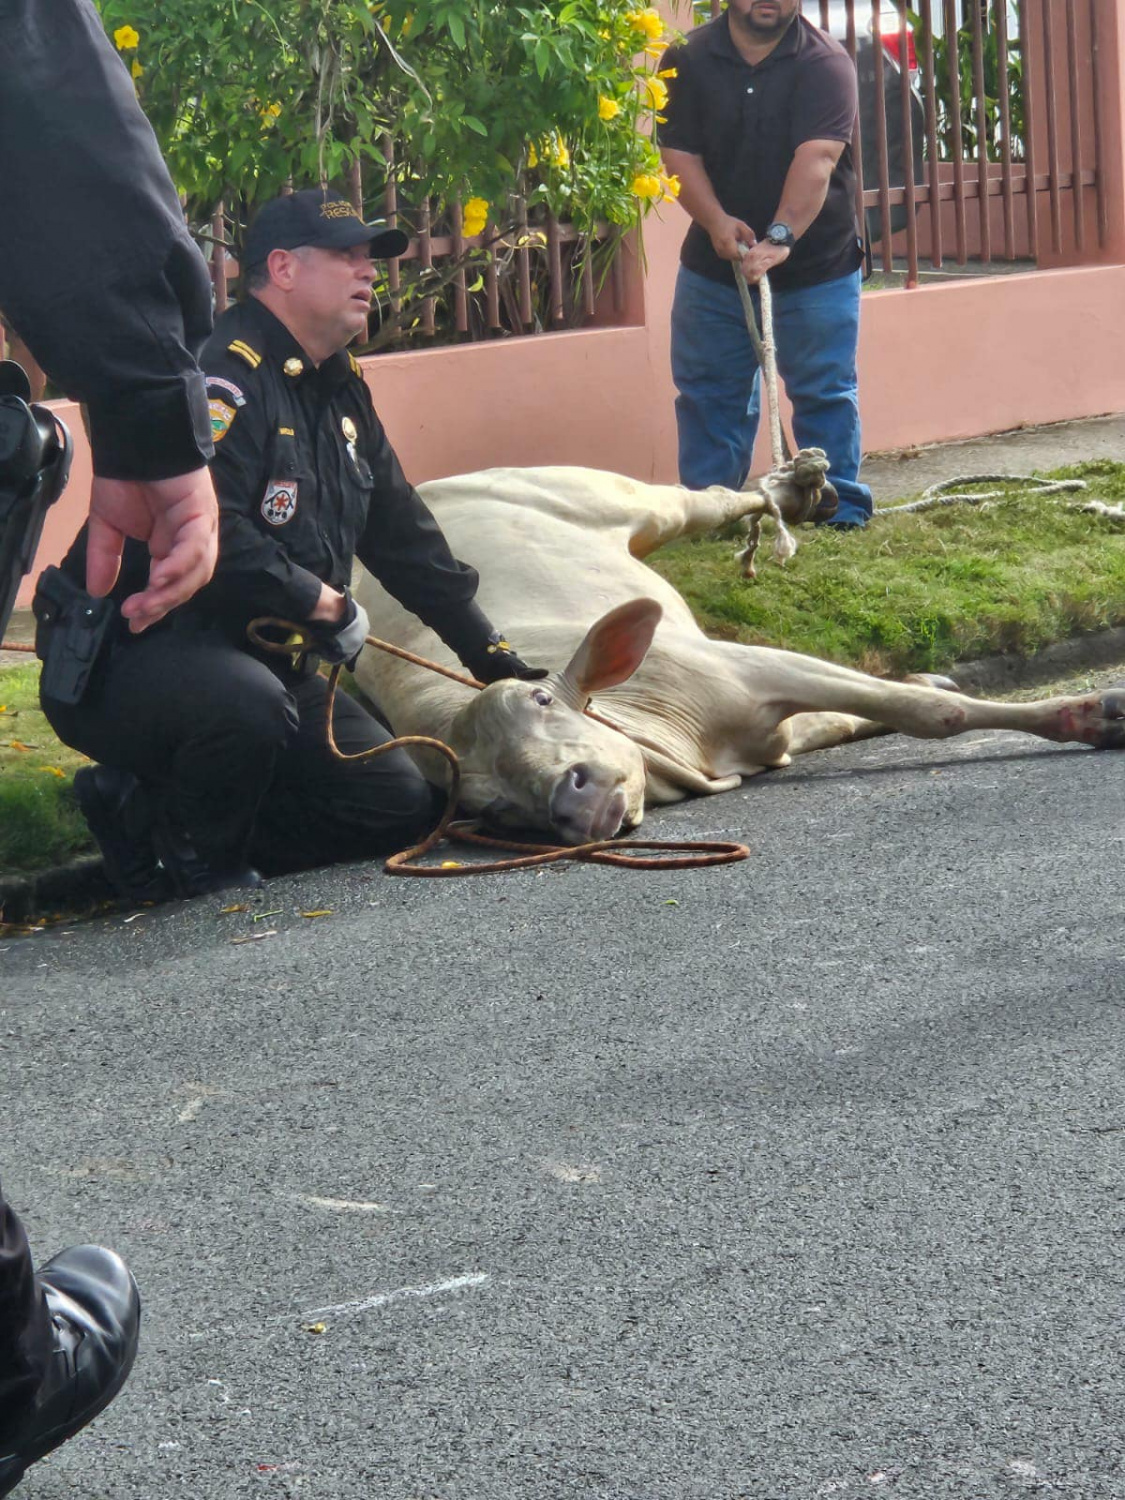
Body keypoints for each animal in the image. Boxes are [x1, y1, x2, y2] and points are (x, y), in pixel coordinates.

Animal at [354, 462, 1125, 852]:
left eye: (540, 699)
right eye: (490, 808)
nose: (567, 799)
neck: (698, 755)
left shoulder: (747, 663)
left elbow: (927, 712)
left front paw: (1091, 714)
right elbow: (854, 717)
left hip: (612, 495)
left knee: (718, 497)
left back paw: (798, 488)